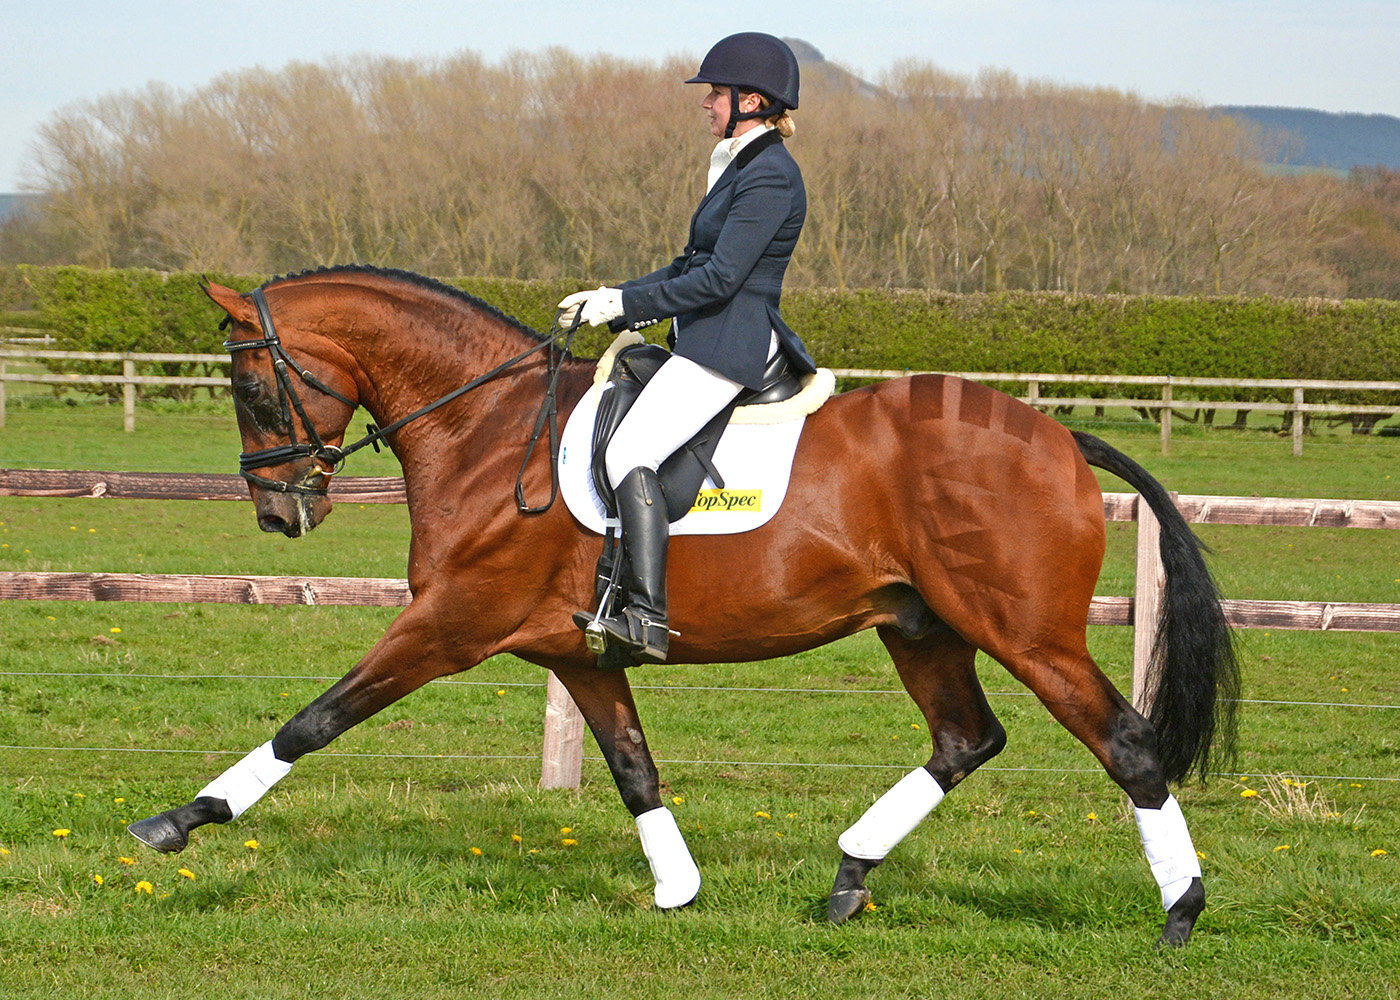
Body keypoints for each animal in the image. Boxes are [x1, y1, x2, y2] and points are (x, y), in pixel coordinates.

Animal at [127, 265, 1238, 947]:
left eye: (250, 387)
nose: (279, 510)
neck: (487, 428)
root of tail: (1058, 436)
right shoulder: (575, 653)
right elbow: (632, 768)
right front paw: (677, 889)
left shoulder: (451, 623)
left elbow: (313, 719)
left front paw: (181, 819)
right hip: (920, 627)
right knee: (965, 738)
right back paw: (847, 876)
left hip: (1025, 631)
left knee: (1125, 745)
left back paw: (1179, 912)